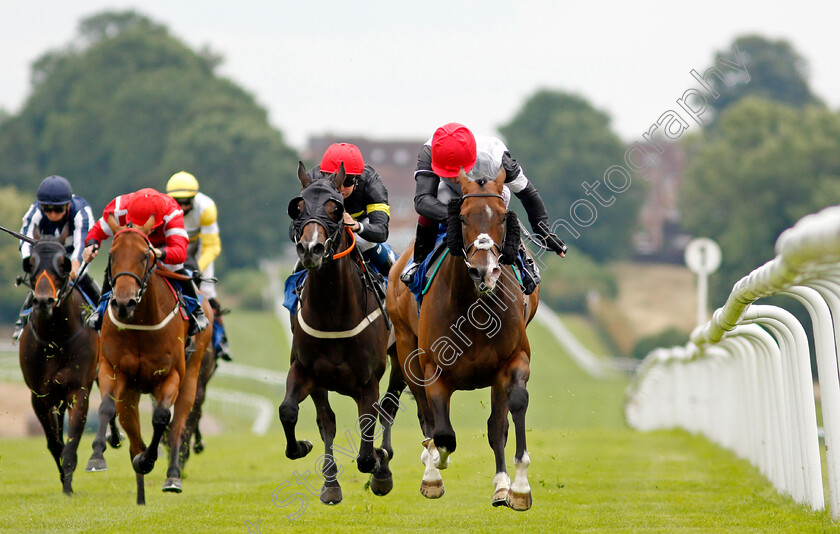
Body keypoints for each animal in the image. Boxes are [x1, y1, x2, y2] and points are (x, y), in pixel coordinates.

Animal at [18, 228, 119, 496]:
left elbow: (72, 444)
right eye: (30, 262)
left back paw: (115, 437)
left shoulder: (78, 390)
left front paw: (68, 487)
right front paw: (65, 480)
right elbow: (55, 443)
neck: (55, 337)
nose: (44, 301)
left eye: (63, 264)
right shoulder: (39, 396)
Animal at [84, 215, 213, 506]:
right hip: (131, 393)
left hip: (192, 376)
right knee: (134, 439)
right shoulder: (112, 370)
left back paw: (173, 476)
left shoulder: (171, 375)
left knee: (179, 426)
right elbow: (106, 407)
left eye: (145, 255)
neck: (141, 322)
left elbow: (162, 418)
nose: (123, 303)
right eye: (112, 255)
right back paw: (140, 492)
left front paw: (150, 461)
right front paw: (97, 456)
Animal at [278, 164, 404, 506]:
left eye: (336, 208)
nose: (311, 249)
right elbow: (294, 413)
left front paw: (378, 463)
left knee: (388, 409)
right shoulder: (305, 369)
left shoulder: (367, 380)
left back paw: (384, 467)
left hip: (402, 359)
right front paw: (311, 459)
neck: (333, 313)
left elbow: (367, 442)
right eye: (298, 206)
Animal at [388, 170, 540, 512]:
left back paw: (501, 485)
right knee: (426, 415)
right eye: (462, 217)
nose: (484, 271)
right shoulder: (432, 368)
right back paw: (431, 470)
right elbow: (442, 432)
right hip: (405, 348)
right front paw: (434, 467)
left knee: (497, 425)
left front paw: (519, 488)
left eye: (502, 216)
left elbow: (513, 409)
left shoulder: (513, 361)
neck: (475, 307)